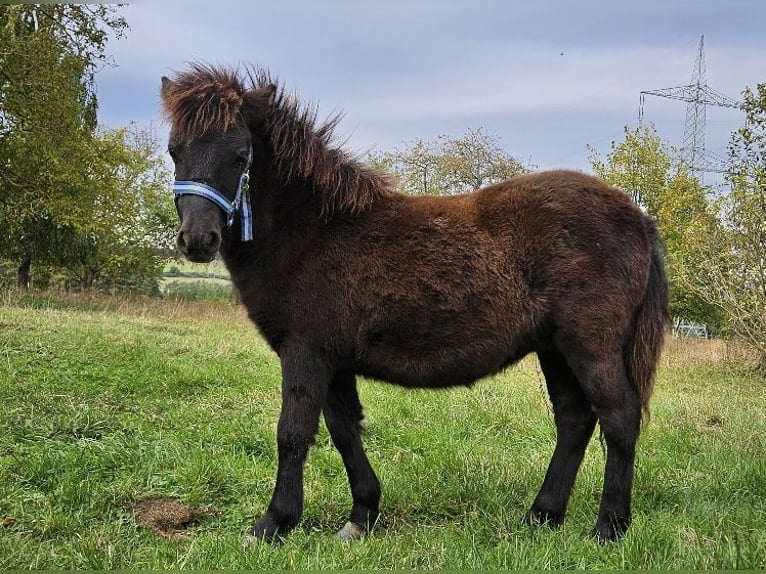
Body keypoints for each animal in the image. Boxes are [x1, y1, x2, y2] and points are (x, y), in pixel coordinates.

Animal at [159, 63, 668, 544]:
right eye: (174, 151)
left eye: (241, 155)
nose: (198, 240)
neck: (313, 231)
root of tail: (637, 216)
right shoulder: (333, 360)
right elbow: (345, 431)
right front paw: (361, 516)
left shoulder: (305, 352)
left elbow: (293, 433)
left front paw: (273, 523)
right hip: (555, 349)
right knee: (574, 421)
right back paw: (541, 517)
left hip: (590, 346)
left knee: (618, 420)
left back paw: (608, 528)